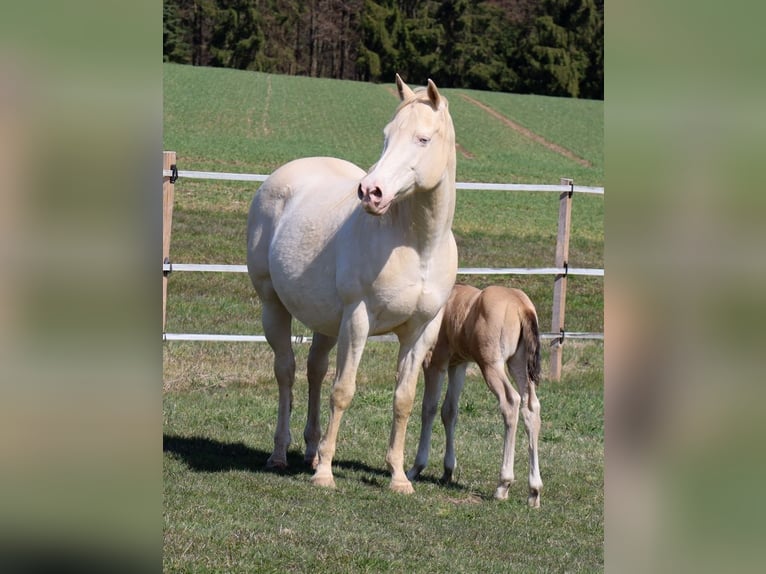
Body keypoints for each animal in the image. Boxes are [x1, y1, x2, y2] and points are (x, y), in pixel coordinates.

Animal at [246, 75, 458, 493]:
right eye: (386, 136)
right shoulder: (358, 319)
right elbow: (343, 391)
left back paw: (311, 451)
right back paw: (281, 454)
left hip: (327, 323)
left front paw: (398, 477)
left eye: (423, 139)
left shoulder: (420, 332)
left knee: (314, 370)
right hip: (273, 306)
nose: (371, 192)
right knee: (286, 371)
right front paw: (326, 474)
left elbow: (404, 398)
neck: (418, 247)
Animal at [406, 284, 544, 507]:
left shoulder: (434, 363)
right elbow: (449, 411)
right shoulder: (458, 365)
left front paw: (416, 468)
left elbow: (429, 409)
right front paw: (447, 470)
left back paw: (503, 485)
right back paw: (534, 491)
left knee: (511, 401)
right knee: (531, 407)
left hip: (491, 365)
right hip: (518, 365)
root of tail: (522, 306)